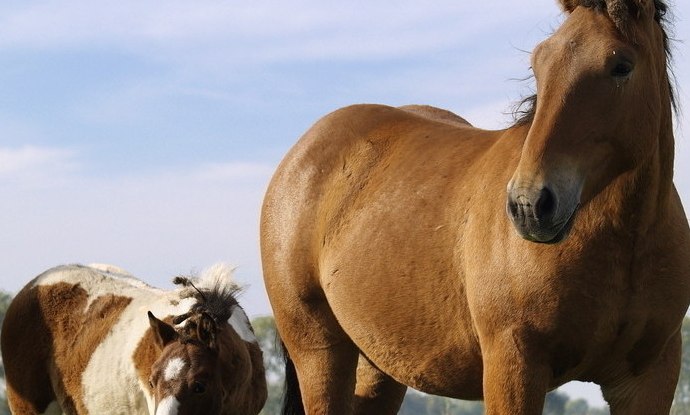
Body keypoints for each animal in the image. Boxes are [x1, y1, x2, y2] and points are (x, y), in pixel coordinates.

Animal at [260, 0, 688, 415]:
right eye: (539, 64)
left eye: (621, 66)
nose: (528, 204)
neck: (627, 244)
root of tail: (302, 152)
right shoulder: (513, 364)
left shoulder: (649, 378)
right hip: (319, 352)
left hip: (378, 367)